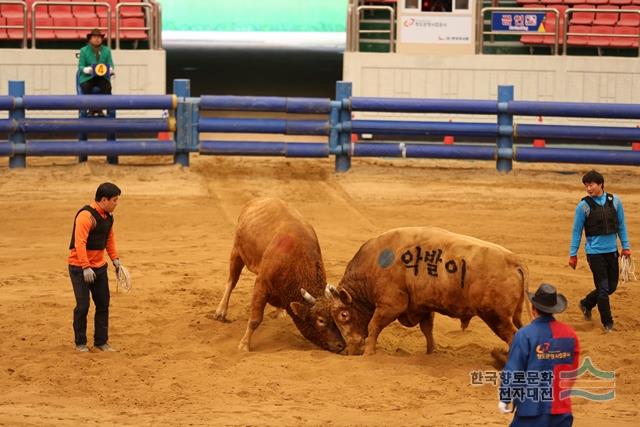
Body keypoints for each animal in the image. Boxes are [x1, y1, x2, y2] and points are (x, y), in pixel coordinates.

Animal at [214, 197, 344, 354]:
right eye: (321, 320)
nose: (341, 345)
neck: (297, 261)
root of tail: (256, 200)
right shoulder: (261, 285)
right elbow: (255, 319)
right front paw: (244, 345)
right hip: (237, 252)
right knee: (231, 282)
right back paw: (221, 312)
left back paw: (280, 313)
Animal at [328, 227, 528, 358]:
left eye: (343, 315)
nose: (348, 350)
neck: (374, 264)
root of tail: (514, 262)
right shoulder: (422, 306)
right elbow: (427, 329)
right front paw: (431, 351)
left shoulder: (391, 305)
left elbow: (373, 326)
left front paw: (369, 353)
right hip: (511, 316)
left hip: (496, 317)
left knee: (512, 336)